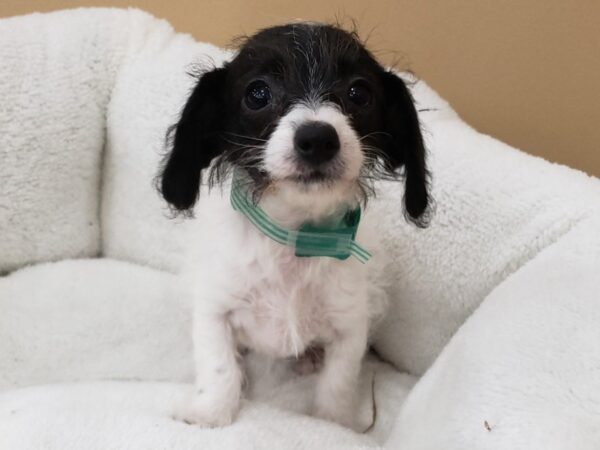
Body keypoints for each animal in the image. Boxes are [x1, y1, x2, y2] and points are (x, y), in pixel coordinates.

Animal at [159, 22, 428, 430]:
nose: (317, 138)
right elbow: (218, 365)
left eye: (359, 93)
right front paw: (211, 414)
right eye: (258, 93)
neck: (295, 235)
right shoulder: (214, 307)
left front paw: (333, 424)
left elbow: (338, 382)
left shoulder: (350, 325)